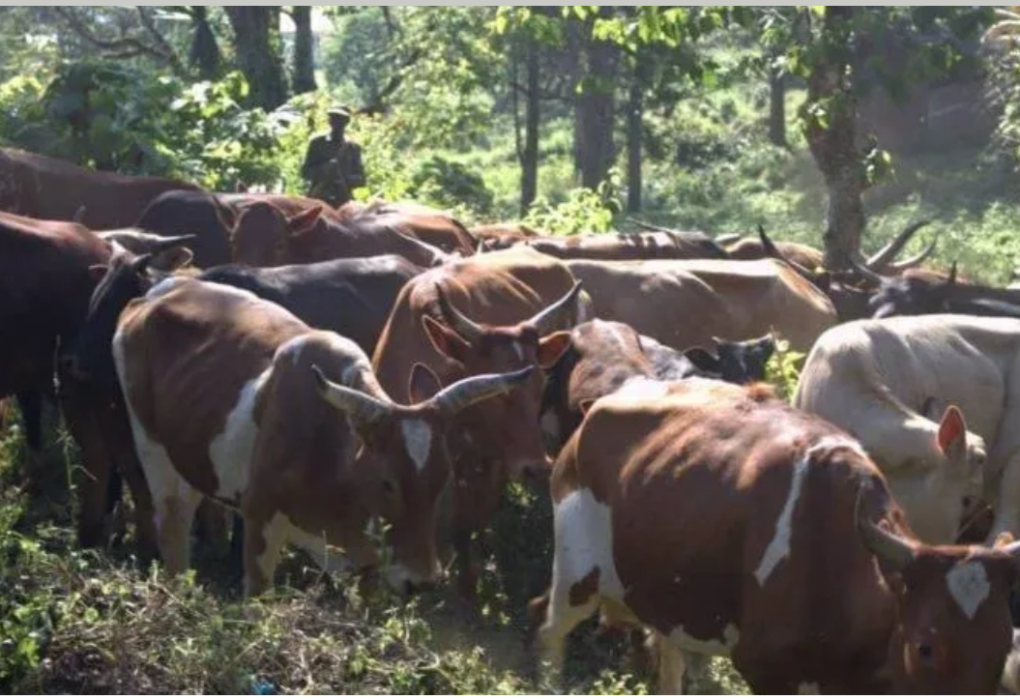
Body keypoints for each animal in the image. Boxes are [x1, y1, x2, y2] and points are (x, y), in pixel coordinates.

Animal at [113, 277, 534, 595]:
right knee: (173, 529)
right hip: (154, 452)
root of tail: (156, 293)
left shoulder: (365, 564)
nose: (422, 582)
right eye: (386, 482)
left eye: (442, 478)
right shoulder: (259, 520)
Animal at [530, 381, 1020, 693]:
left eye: (1003, 647)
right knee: (551, 634)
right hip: (576, 575)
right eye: (926, 648)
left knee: (668, 659)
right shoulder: (764, 668)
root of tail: (600, 405)